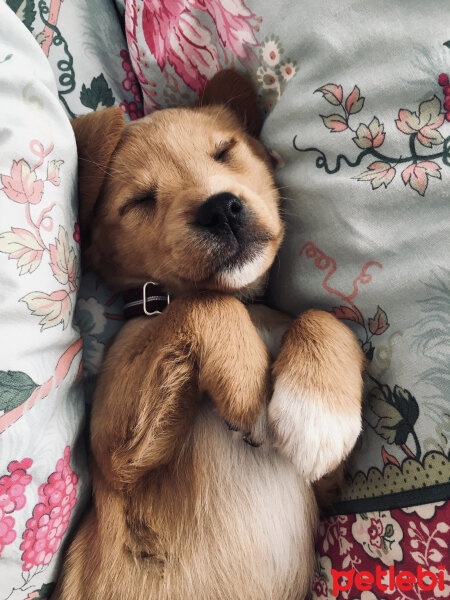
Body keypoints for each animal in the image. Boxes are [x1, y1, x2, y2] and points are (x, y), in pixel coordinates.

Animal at [55, 71, 366, 600]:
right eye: (139, 200)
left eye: (225, 151)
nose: (221, 210)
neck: (249, 307)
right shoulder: (113, 454)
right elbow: (205, 302)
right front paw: (250, 397)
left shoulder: (327, 485)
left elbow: (323, 317)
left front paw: (319, 409)